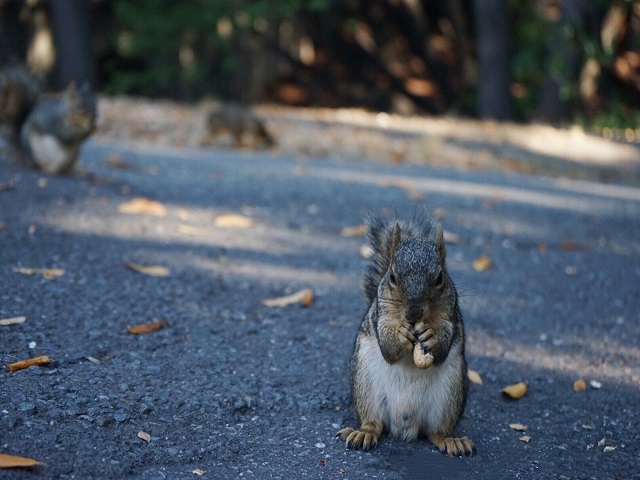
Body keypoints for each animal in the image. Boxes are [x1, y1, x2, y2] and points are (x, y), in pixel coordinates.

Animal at [340, 216, 476, 456]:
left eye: (440, 278)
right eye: (393, 276)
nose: (413, 313)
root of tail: (405, 425)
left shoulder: (450, 314)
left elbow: (443, 344)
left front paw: (432, 336)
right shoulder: (382, 314)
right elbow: (387, 347)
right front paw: (400, 333)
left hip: (451, 393)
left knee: (435, 432)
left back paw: (451, 440)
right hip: (365, 385)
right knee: (374, 423)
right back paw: (364, 432)